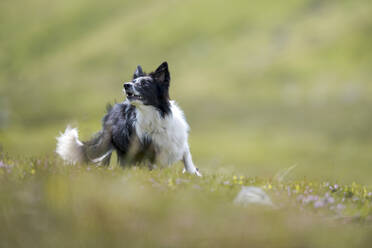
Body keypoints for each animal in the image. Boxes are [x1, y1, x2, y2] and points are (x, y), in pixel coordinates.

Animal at [56, 62, 201, 176]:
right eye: (132, 82)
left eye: (144, 83)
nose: (126, 85)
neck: (154, 115)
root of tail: (112, 110)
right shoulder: (147, 151)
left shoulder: (179, 143)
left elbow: (188, 160)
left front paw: (194, 174)